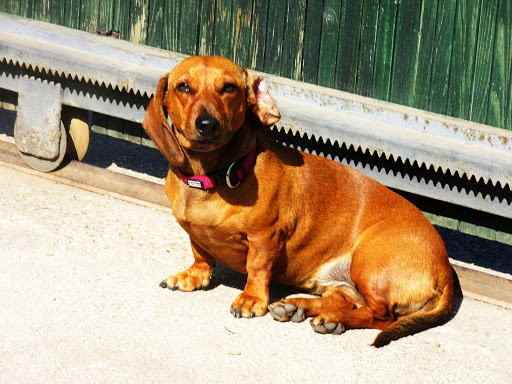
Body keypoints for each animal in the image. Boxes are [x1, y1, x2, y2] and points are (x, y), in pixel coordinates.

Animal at [143, 55, 452, 346]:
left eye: (229, 88)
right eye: (183, 86)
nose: (207, 125)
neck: (213, 177)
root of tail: (446, 267)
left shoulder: (266, 237)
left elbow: (257, 268)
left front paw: (251, 299)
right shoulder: (195, 233)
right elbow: (201, 254)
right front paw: (193, 276)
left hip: (369, 263)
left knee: (381, 315)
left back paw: (332, 319)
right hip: (343, 282)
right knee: (346, 301)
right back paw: (298, 307)